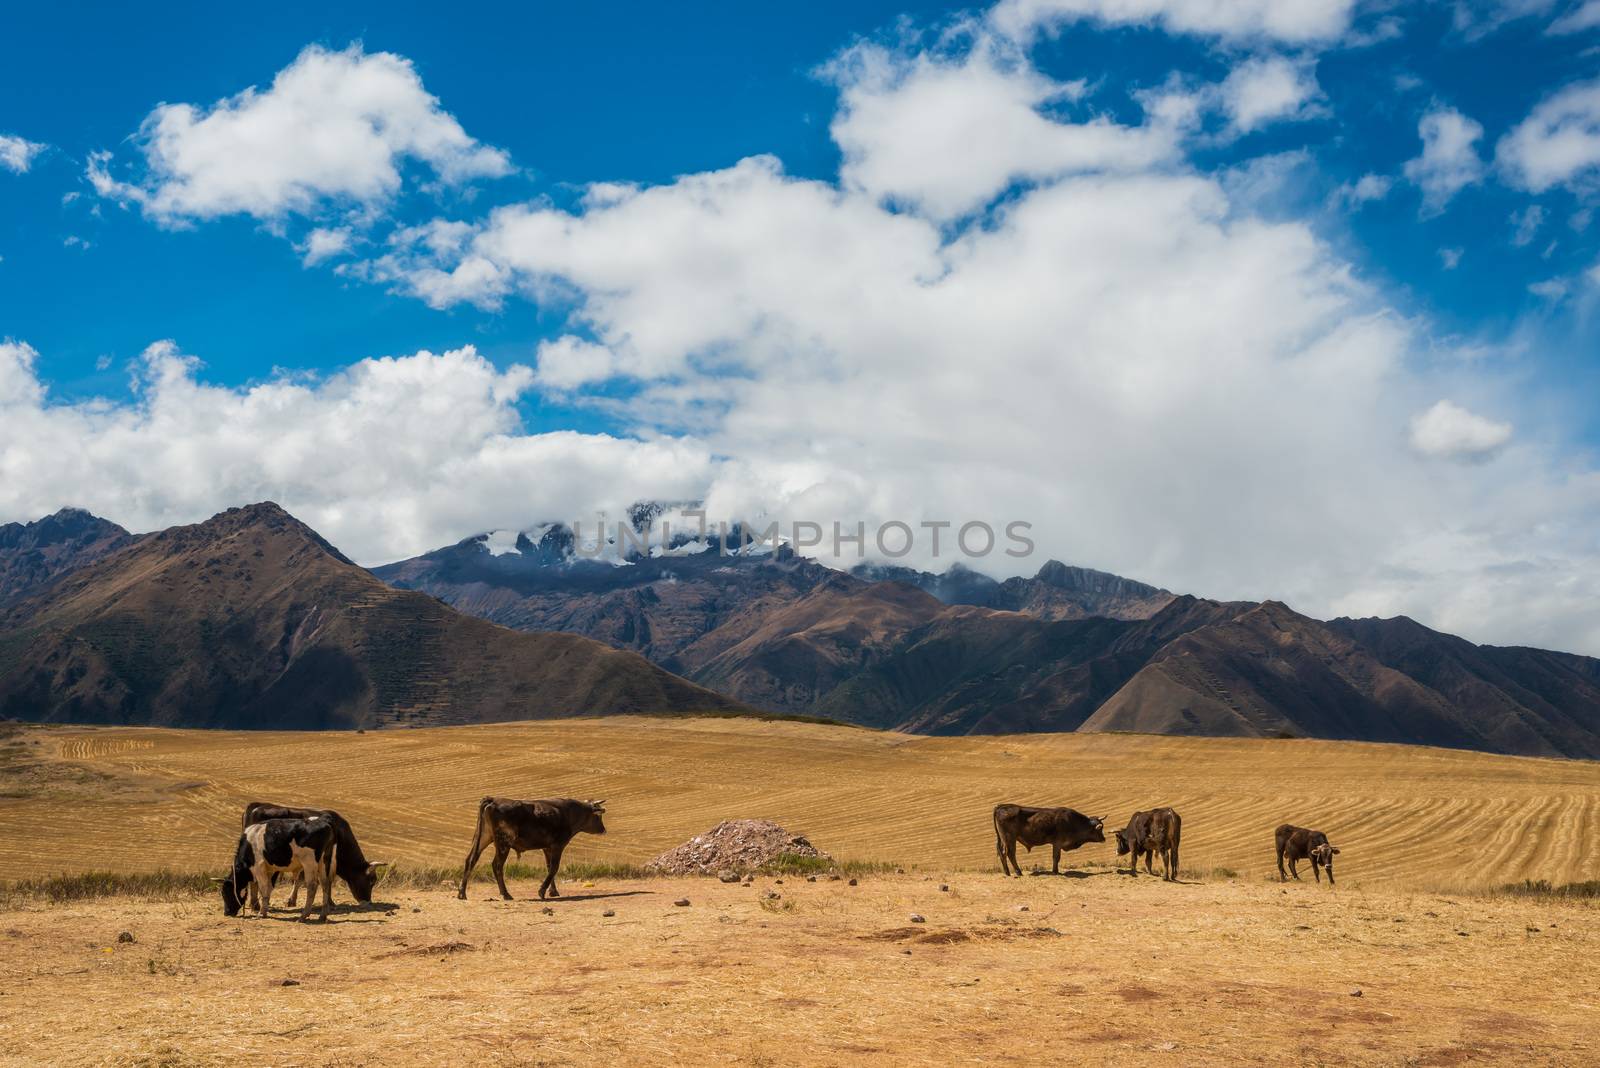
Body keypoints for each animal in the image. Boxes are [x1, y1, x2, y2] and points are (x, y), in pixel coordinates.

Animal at [241, 799, 388, 908]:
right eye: (371, 880)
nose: (368, 902)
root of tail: (256, 805)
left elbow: (301, 879)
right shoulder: (328, 859)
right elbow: (326, 879)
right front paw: (329, 902)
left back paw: (254, 904)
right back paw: (255, 904)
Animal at [457, 793, 604, 901]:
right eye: (598, 817)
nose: (603, 829)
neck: (569, 813)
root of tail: (493, 800)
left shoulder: (547, 848)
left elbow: (549, 867)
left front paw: (553, 891)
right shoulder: (558, 846)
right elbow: (554, 868)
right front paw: (542, 891)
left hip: (483, 838)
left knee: (471, 860)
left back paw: (462, 893)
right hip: (503, 844)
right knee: (497, 866)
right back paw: (506, 894)